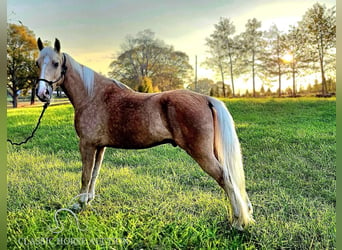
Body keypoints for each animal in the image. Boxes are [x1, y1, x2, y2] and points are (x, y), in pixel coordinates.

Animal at [35, 37, 254, 230]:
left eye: (56, 63)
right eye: (37, 63)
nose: (42, 93)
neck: (92, 95)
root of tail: (206, 99)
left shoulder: (86, 145)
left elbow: (85, 175)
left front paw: (78, 204)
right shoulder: (99, 147)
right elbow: (94, 175)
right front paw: (88, 200)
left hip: (202, 154)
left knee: (225, 178)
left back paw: (237, 222)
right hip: (213, 152)